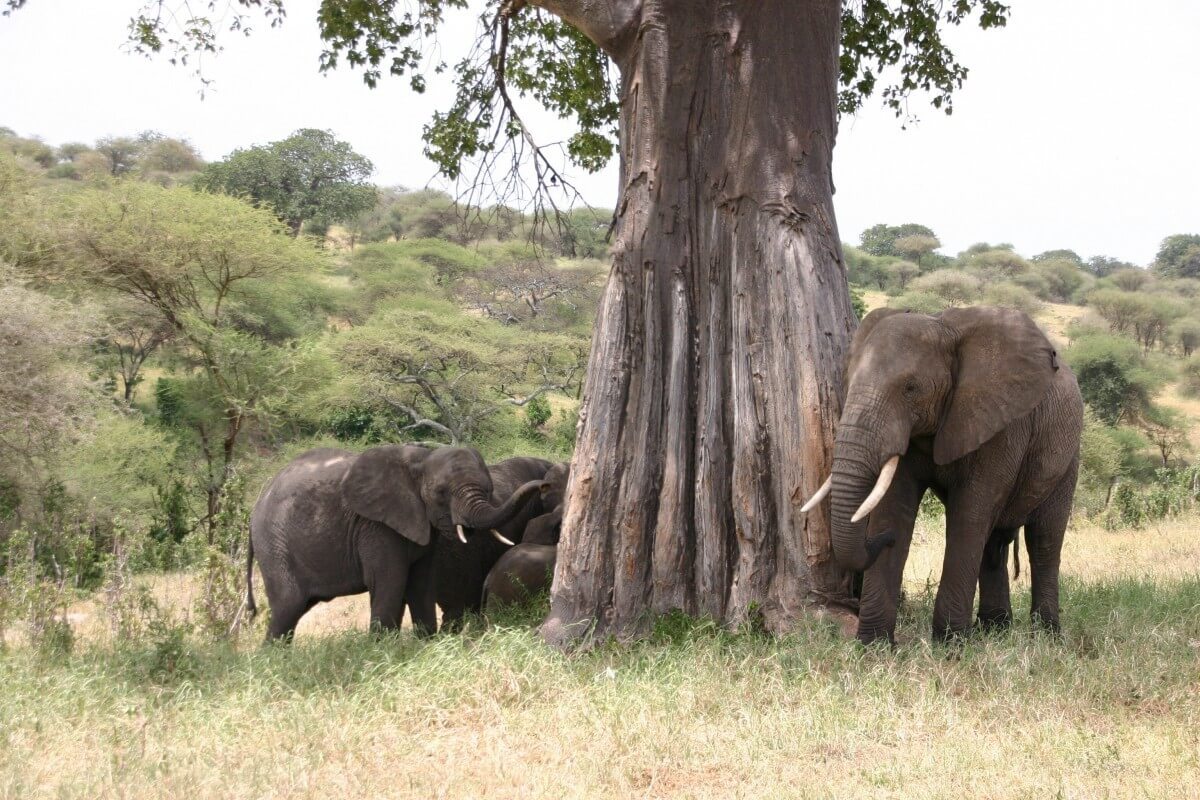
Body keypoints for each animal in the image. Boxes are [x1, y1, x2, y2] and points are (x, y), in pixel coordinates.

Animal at [247, 441, 544, 642]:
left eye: (489, 489)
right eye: (440, 493)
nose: (542, 484)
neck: (421, 459)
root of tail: (256, 507)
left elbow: (421, 583)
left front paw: (427, 644)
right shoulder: (377, 525)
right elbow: (389, 581)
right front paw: (383, 651)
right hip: (274, 544)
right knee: (288, 606)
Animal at [801, 304, 1084, 642]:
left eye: (911, 389)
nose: (883, 540)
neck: (942, 328)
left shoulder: (1001, 426)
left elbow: (969, 514)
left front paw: (951, 643)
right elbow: (894, 506)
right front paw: (874, 644)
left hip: (1069, 455)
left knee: (1043, 540)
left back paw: (1046, 635)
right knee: (995, 544)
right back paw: (995, 630)